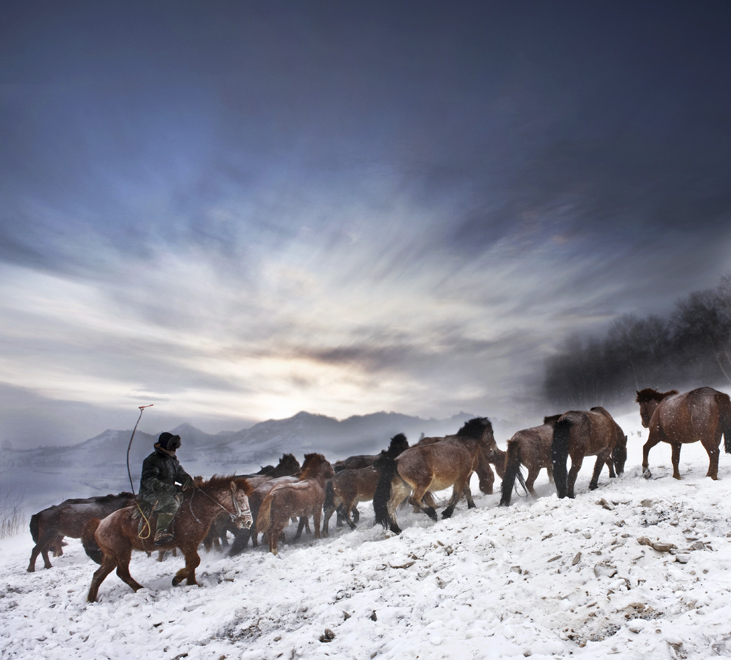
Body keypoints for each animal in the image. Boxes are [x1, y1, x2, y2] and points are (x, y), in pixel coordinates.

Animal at [84, 474, 252, 604]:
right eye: (239, 498)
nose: (248, 522)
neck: (196, 508)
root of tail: (100, 523)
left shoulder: (190, 545)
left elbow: (192, 563)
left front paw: (191, 583)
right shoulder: (187, 544)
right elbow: (195, 561)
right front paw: (177, 579)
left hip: (111, 556)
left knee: (98, 575)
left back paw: (91, 600)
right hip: (122, 553)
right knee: (122, 573)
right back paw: (142, 589)